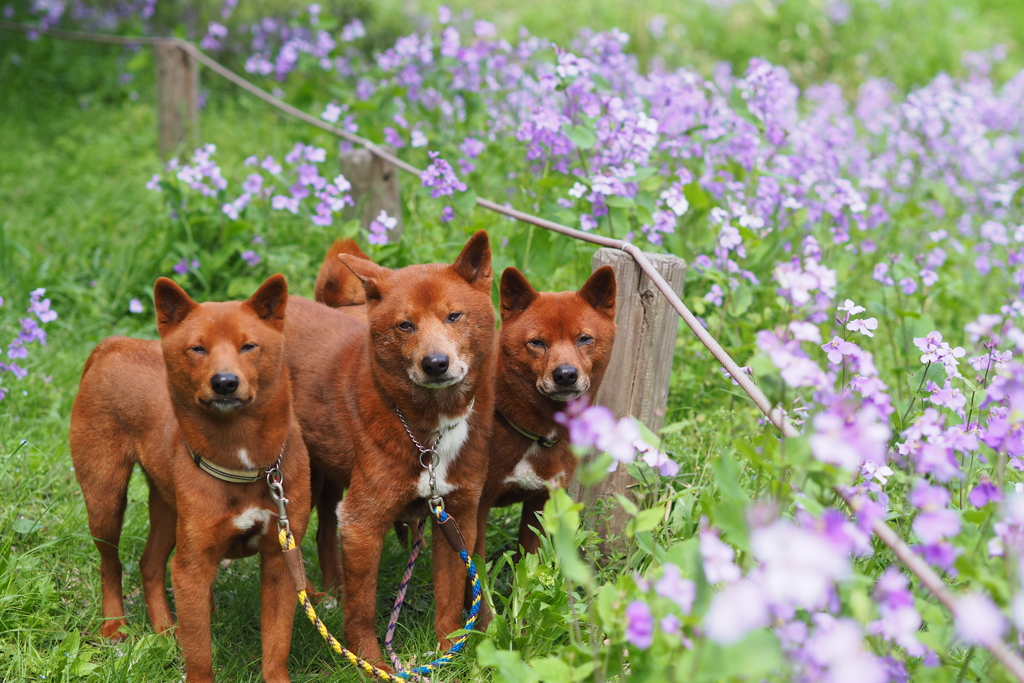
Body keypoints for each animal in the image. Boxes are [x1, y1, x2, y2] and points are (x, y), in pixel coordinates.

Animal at [69, 274, 307, 679]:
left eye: (248, 346)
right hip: (106, 500)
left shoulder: (280, 562)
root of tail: (113, 345)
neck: (242, 459)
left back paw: (167, 630)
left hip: (168, 509)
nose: (225, 382)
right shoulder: (191, 569)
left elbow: (277, 646)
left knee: (150, 565)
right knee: (110, 564)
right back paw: (115, 625)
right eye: (197, 348)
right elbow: (201, 656)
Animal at [284, 232, 495, 663]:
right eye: (405, 325)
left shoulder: (456, 516)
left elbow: (450, 599)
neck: (429, 431)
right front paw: (369, 662)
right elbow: (362, 609)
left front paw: (447, 653)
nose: (435, 363)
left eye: (454, 316)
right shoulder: (363, 522)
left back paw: (332, 591)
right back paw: (318, 599)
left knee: (325, 530)